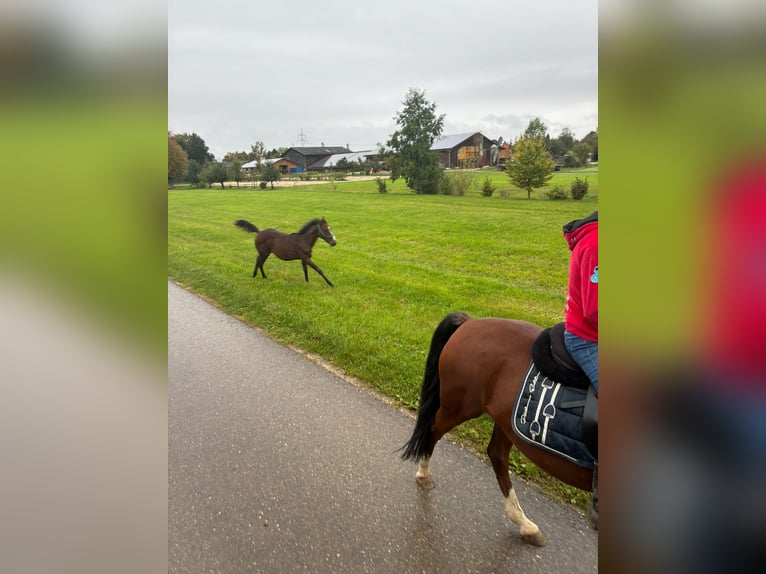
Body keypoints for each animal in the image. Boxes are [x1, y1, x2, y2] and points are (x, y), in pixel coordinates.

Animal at [401, 311, 595, 547]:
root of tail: (470, 322)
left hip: (505, 422)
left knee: (497, 454)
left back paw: (524, 523)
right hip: (458, 406)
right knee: (432, 430)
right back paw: (424, 474)